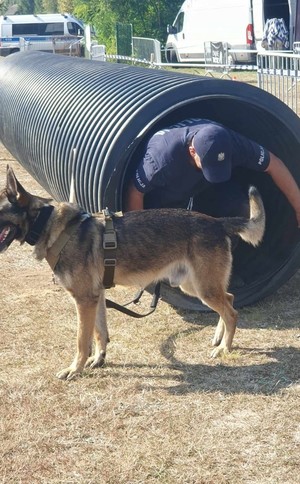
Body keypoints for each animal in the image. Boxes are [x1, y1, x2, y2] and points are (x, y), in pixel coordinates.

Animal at [0, 165, 264, 378]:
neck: (48, 224)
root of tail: (218, 222)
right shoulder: (97, 297)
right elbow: (99, 332)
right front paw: (99, 359)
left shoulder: (84, 300)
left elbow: (81, 340)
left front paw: (75, 369)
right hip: (195, 286)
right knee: (230, 298)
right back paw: (220, 337)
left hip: (203, 288)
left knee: (231, 312)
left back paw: (224, 348)